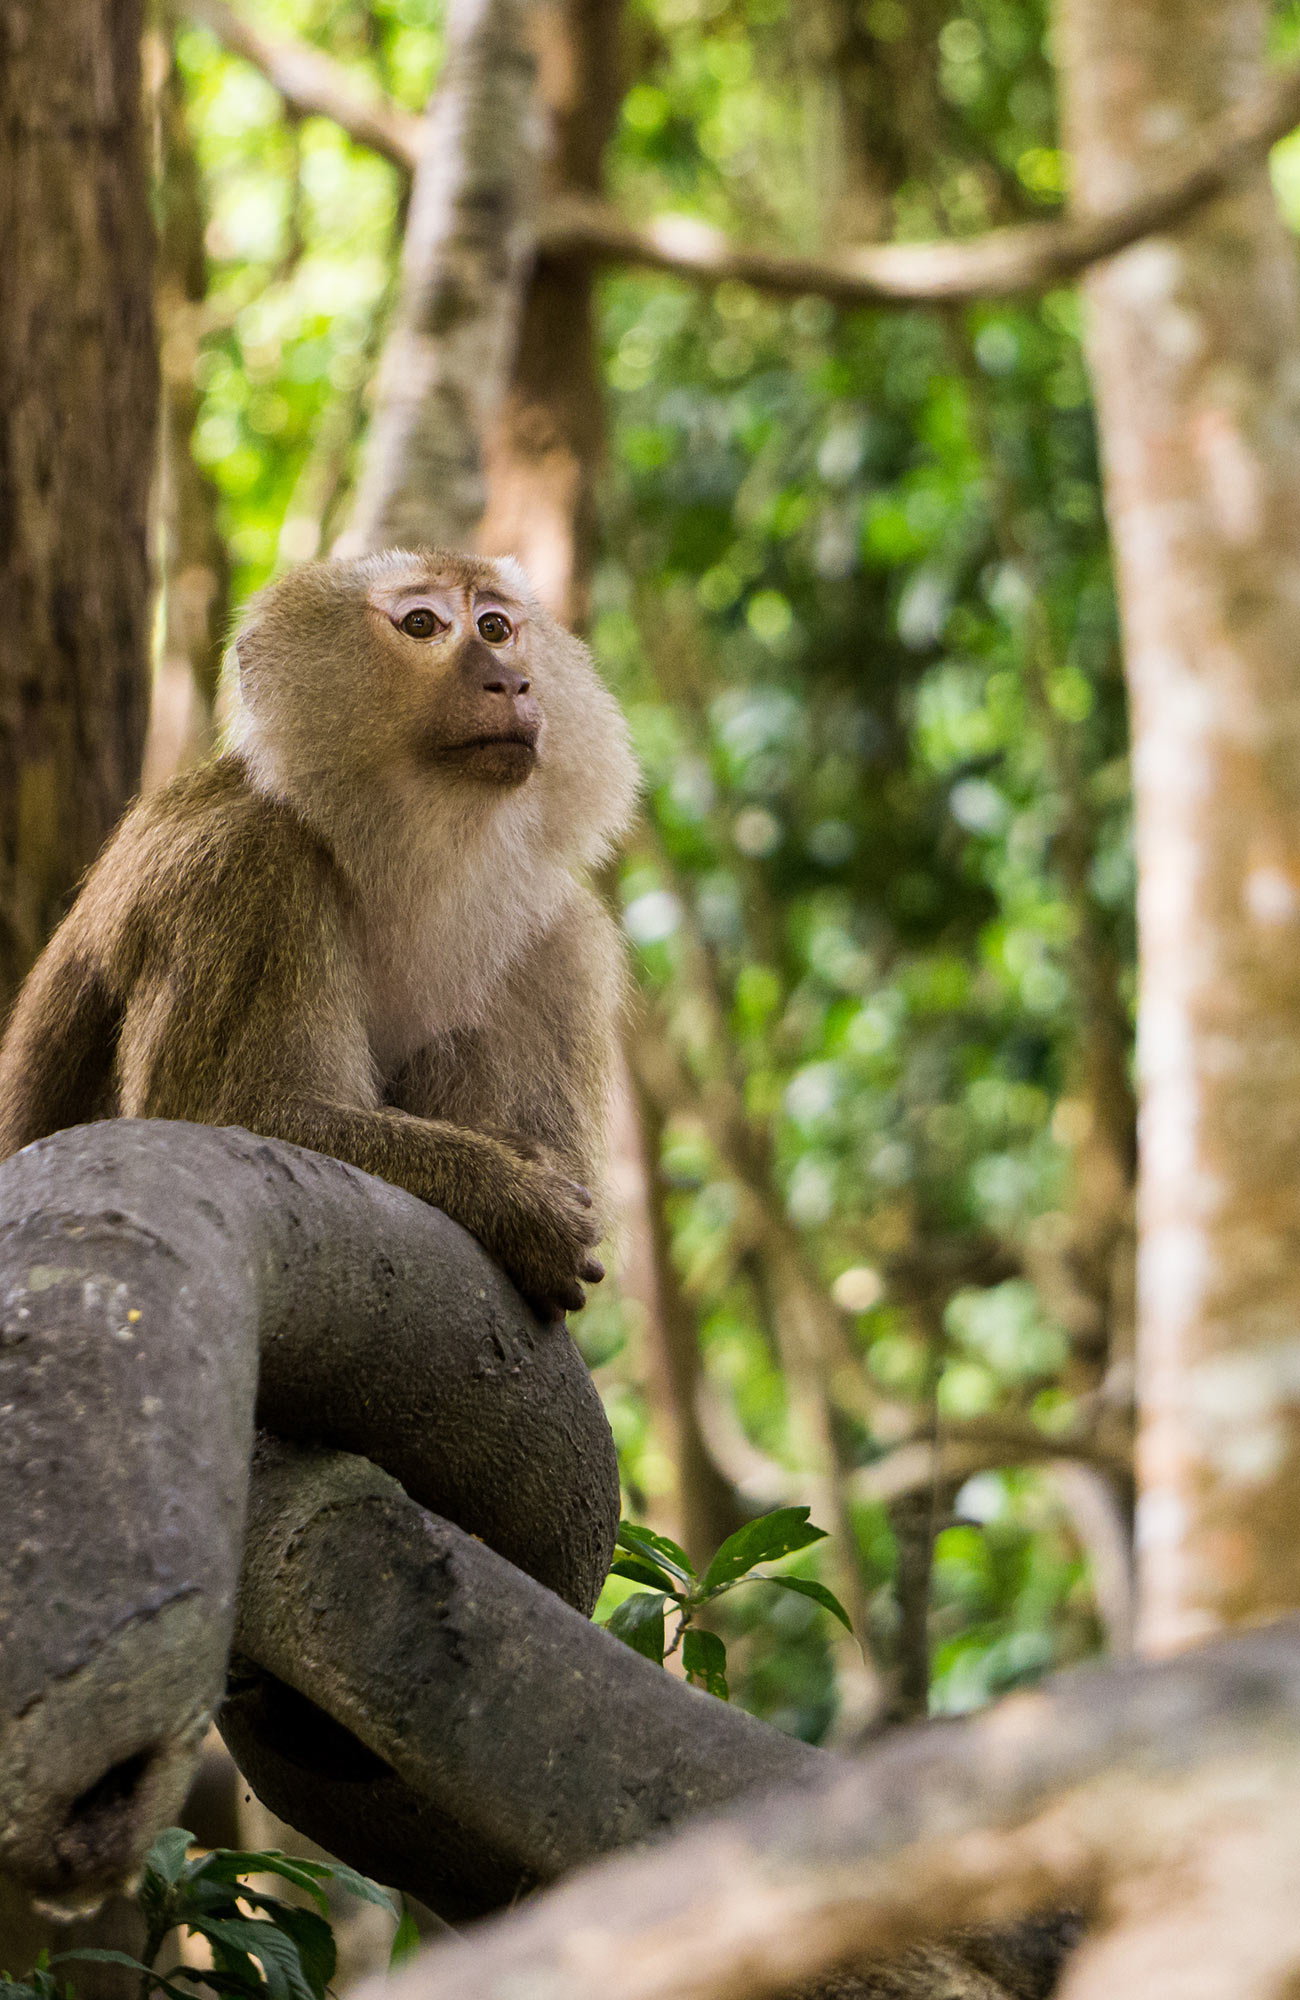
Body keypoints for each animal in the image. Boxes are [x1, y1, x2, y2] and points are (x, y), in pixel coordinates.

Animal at [0, 549, 640, 1319]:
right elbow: (225, 1114)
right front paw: (509, 1193)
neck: (392, 855)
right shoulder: (245, 869)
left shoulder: (555, 946)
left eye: (496, 626)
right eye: (422, 624)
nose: (511, 679)